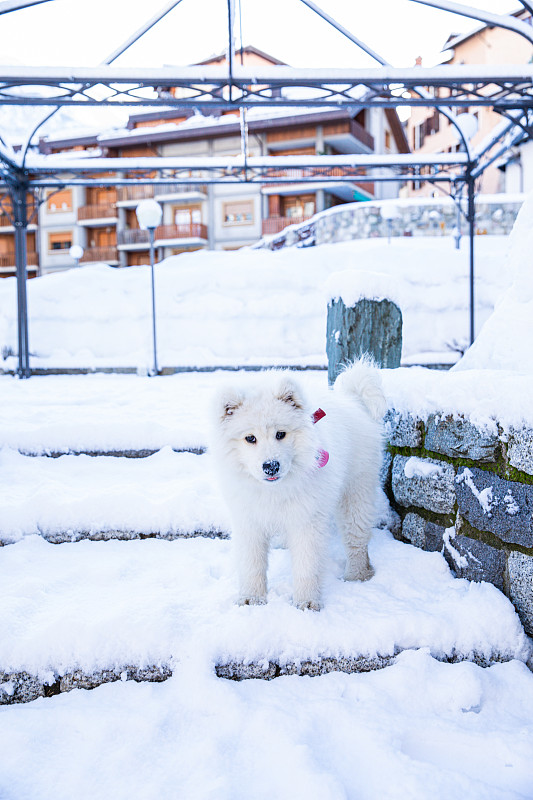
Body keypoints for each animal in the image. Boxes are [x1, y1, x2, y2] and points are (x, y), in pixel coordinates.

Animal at [210, 360, 384, 608]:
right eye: (250, 438)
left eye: (280, 434)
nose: (271, 466)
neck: (273, 490)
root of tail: (353, 401)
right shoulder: (249, 519)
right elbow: (251, 563)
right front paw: (251, 599)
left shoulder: (307, 520)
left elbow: (306, 565)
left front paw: (306, 603)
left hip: (356, 491)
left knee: (356, 537)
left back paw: (357, 576)